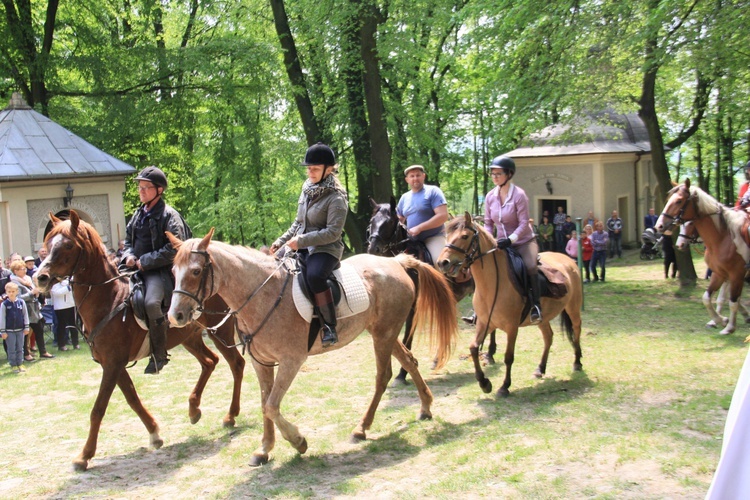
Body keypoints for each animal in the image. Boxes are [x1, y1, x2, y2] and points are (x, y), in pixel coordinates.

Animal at [33, 212, 245, 472]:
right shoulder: (113, 364)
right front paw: (154, 433)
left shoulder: (113, 364)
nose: (40, 277)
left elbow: (98, 409)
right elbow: (132, 398)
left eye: (68, 245)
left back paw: (230, 415)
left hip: (220, 331)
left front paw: (84, 455)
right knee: (210, 361)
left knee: (236, 364)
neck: (110, 298)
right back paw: (194, 409)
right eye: (48, 244)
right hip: (190, 337)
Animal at [167, 229, 458, 466]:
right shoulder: (261, 362)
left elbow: (271, 406)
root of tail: (395, 261)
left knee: (383, 376)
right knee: (409, 361)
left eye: (196, 271)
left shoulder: (291, 360)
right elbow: (264, 404)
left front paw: (298, 441)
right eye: (173, 272)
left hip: (383, 335)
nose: (175, 316)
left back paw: (362, 428)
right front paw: (264, 450)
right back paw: (425, 407)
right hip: (383, 332)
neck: (262, 294)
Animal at [434, 212, 588, 398]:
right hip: (542, 318)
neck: (492, 284)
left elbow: (508, 356)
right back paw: (540, 369)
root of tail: (567, 259)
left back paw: (577, 362)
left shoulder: (511, 327)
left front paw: (504, 386)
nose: (442, 263)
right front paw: (484, 383)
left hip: (573, 308)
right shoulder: (485, 323)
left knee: (577, 330)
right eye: (447, 236)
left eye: (464, 236)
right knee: (548, 337)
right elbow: (473, 348)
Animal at [656, 178, 750, 334]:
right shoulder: (720, 274)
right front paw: (721, 320)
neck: (723, 238)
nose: (659, 226)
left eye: (679, 201)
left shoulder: (736, 275)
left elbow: (733, 302)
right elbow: (708, 298)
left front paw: (730, 327)